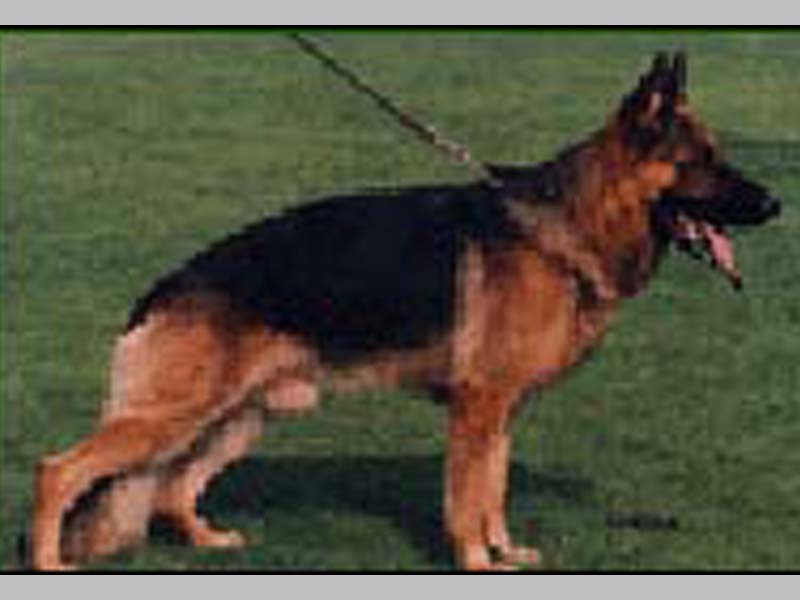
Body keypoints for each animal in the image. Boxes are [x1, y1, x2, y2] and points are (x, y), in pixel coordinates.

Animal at [32, 52, 781, 571]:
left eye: (720, 155)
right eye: (701, 160)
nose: (776, 205)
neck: (570, 223)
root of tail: (159, 290)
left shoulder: (501, 413)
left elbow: (494, 490)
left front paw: (505, 554)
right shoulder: (477, 408)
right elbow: (466, 498)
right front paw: (477, 562)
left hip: (240, 415)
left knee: (173, 488)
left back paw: (208, 540)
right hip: (176, 415)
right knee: (60, 471)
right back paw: (48, 562)